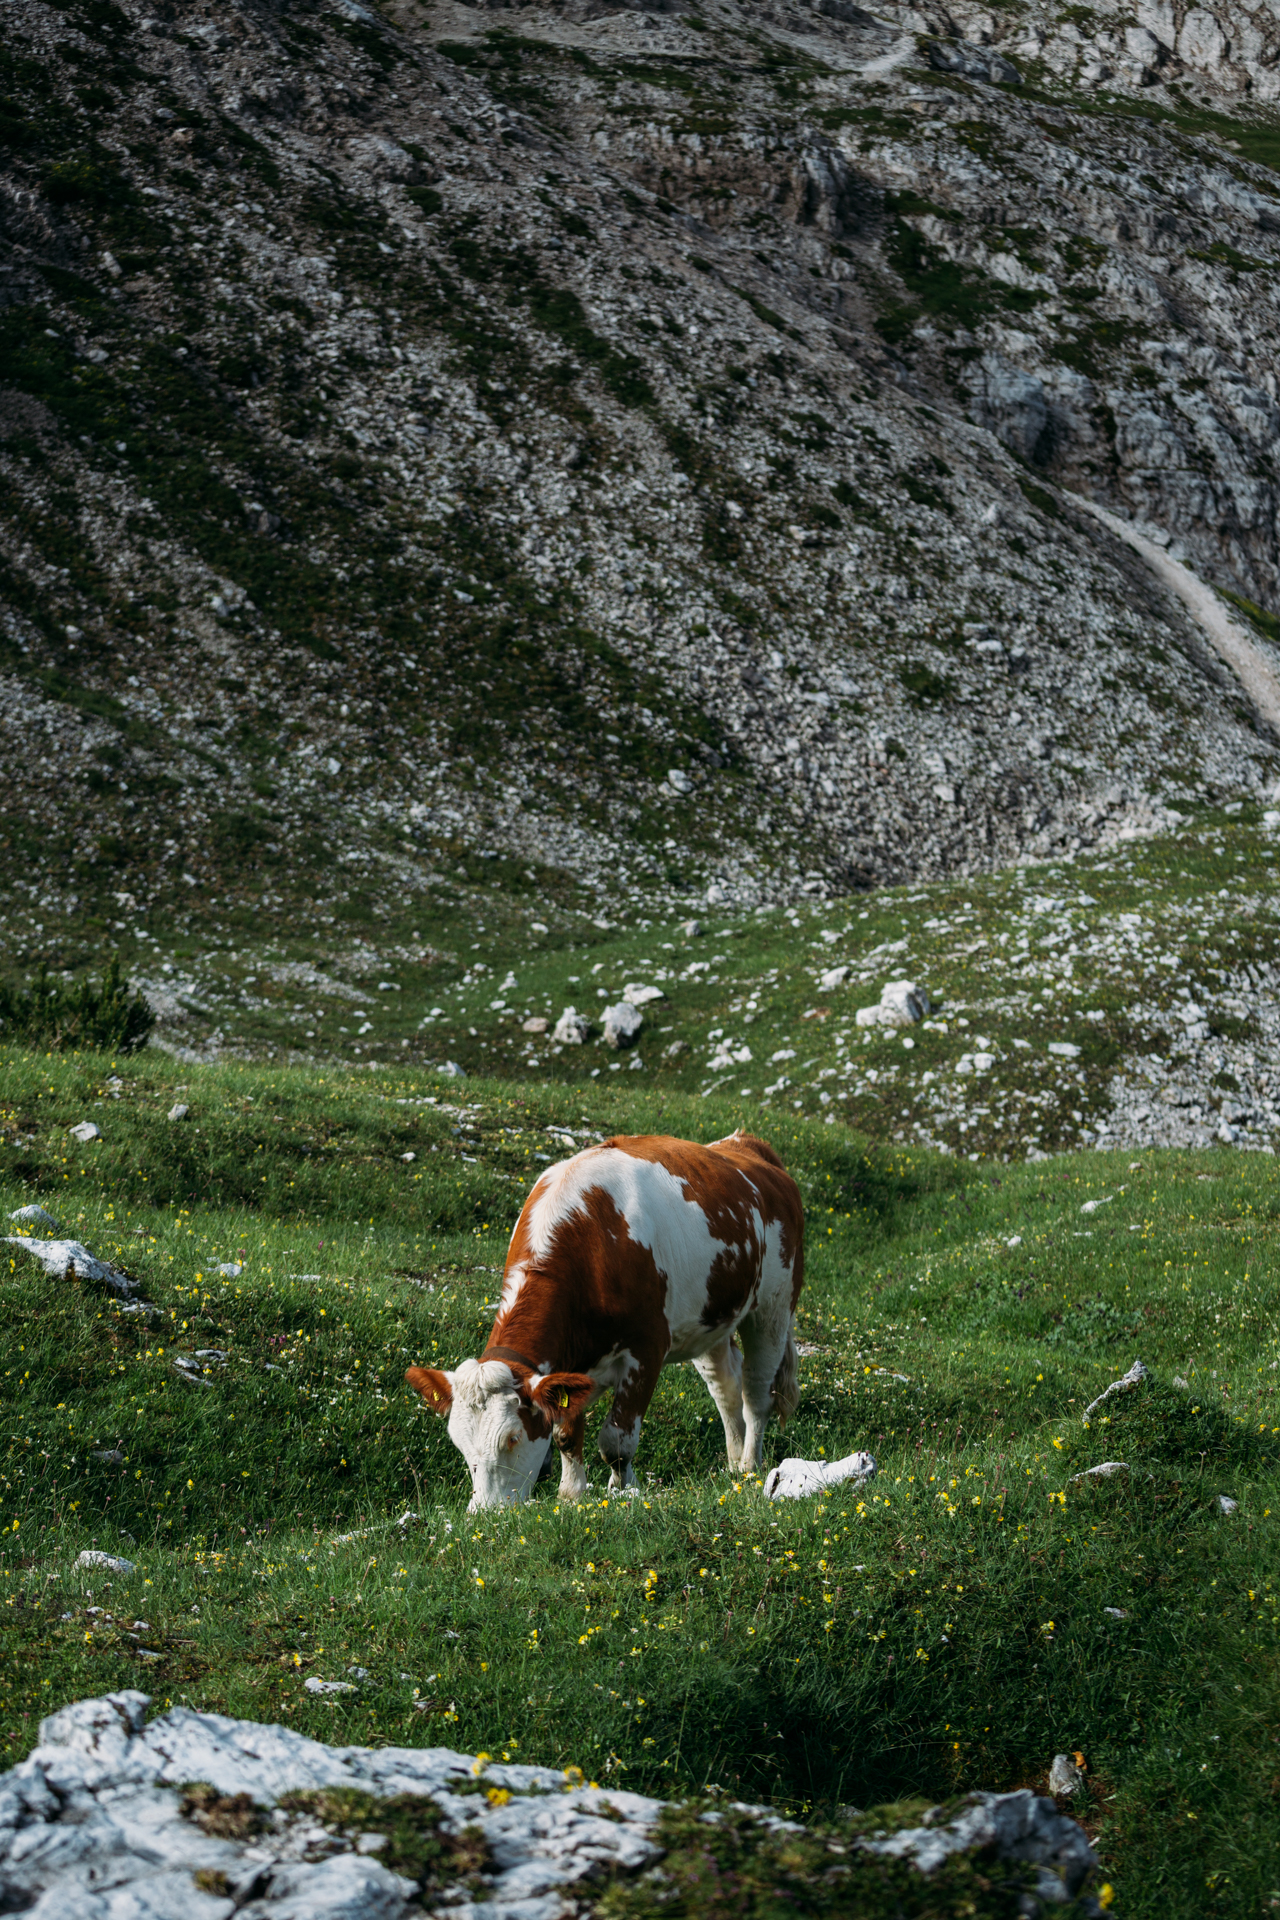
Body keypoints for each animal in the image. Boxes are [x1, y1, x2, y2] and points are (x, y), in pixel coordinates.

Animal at [406, 1130, 804, 1509]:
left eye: (512, 1437)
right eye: (459, 1443)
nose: (485, 1512)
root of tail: (745, 1144)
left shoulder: (647, 1348)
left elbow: (616, 1440)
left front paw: (622, 1491)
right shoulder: (568, 1371)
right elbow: (566, 1435)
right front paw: (571, 1494)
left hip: (773, 1306)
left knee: (756, 1391)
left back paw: (750, 1464)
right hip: (710, 1320)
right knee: (725, 1387)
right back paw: (734, 1463)